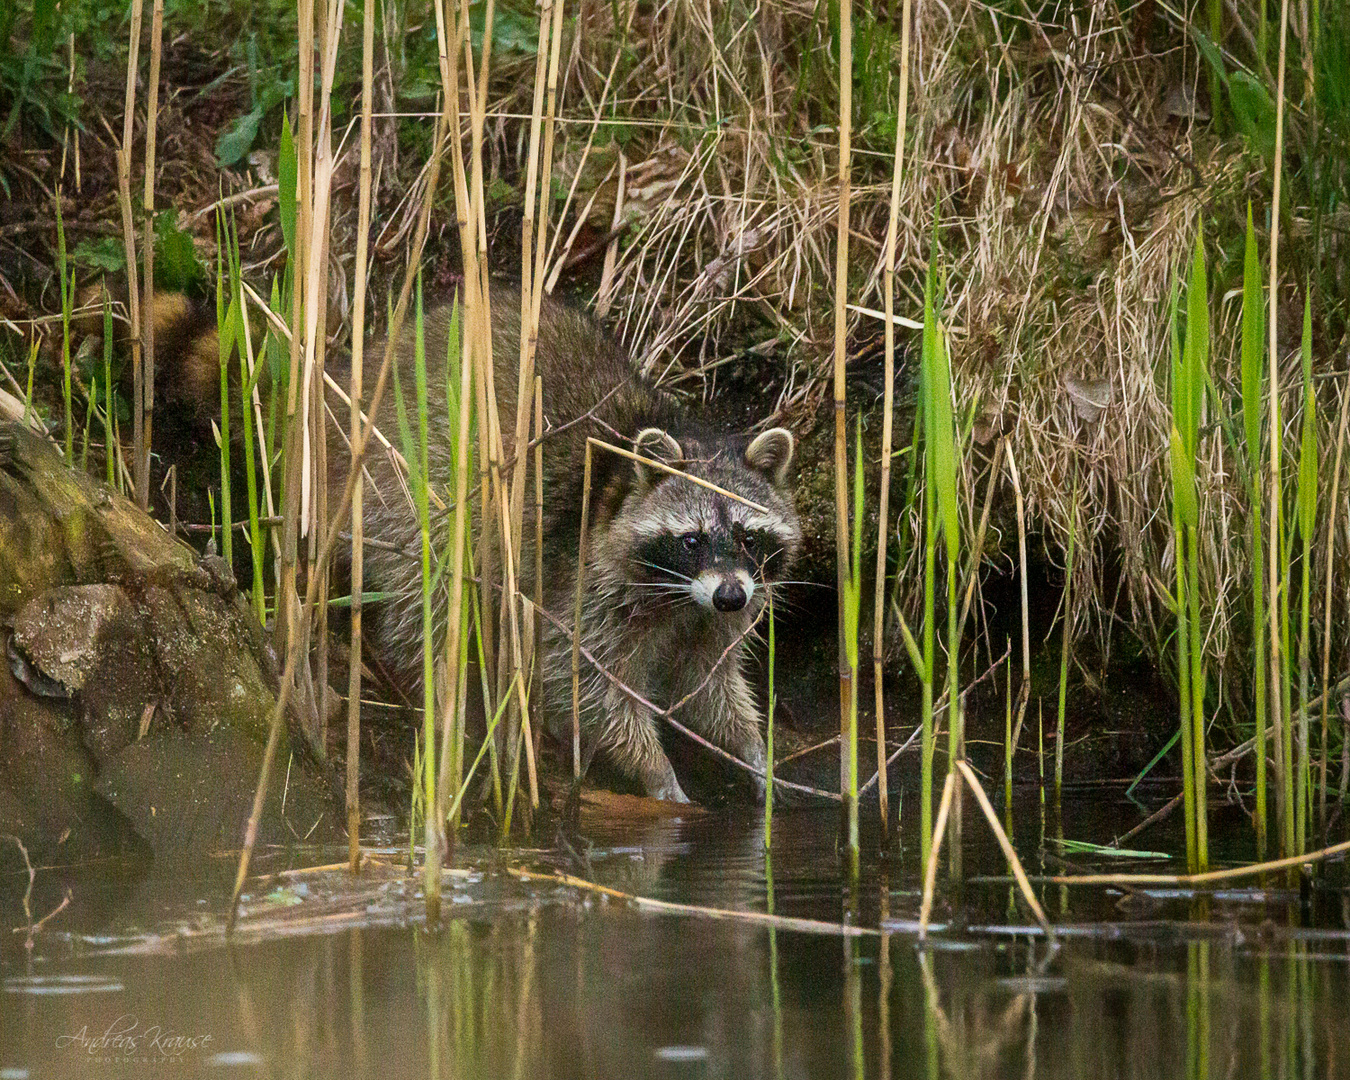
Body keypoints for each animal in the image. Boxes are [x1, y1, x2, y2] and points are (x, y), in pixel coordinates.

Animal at [348, 286, 799, 799]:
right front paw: (658, 772)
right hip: (411, 484)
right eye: (691, 541)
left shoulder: (718, 613)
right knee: (427, 598)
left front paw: (752, 751)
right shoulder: (585, 584)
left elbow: (708, 685)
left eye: (748, 537)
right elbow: (579, 682)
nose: (729, 597)